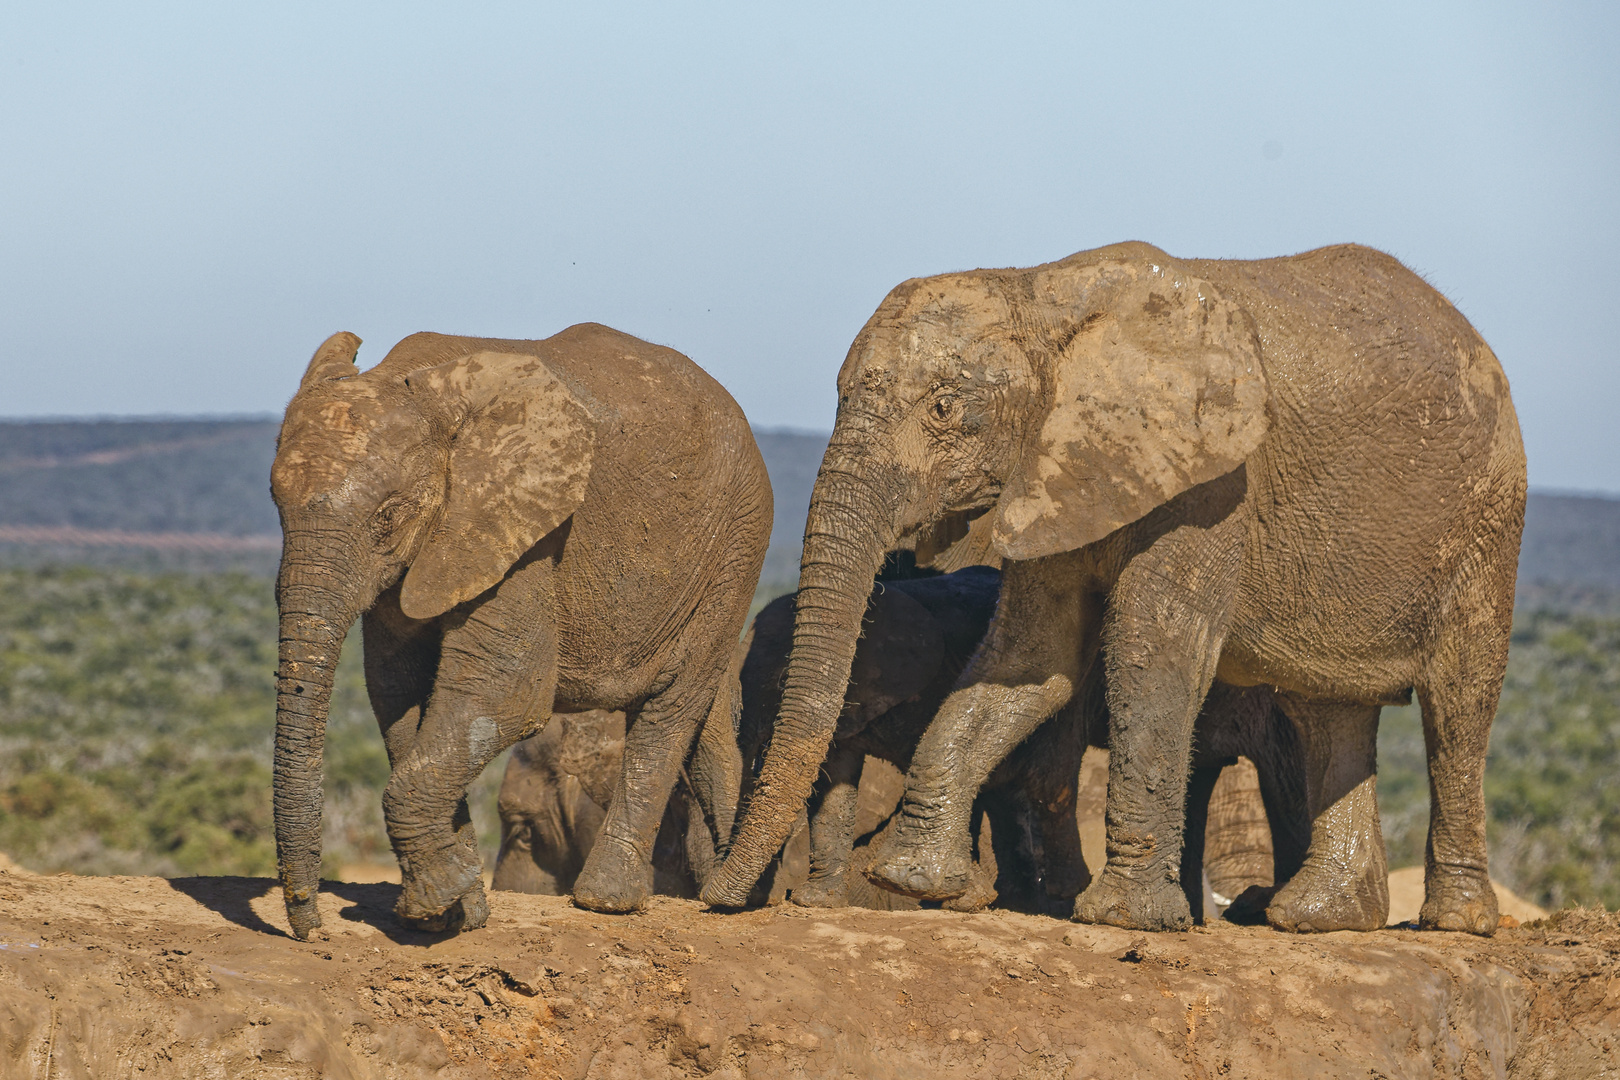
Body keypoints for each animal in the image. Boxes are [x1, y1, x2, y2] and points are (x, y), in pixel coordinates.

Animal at [268, 320, 767, 939]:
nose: (309, 929)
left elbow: (509, 691)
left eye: (389, 516)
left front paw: (435, 902)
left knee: (671, 707)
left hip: (736, 543)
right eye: (275, 506)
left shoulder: (525, 530)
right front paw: (456, 911)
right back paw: (728, 896)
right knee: (709, 713)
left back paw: (607, 902)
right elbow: (398, 694)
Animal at [703, 238, 1522, 939]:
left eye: (944, 408)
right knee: (1329, 708)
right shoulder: (1054, 472)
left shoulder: (1214, 480)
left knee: (1458, 703)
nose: (719, 899)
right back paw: (1319, 918)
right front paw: (914, 881)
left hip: (1488, 517)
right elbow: (1031, 655)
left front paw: (1127, 920)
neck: (1040, 292)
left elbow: (1155, 646)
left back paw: (1453, 923)